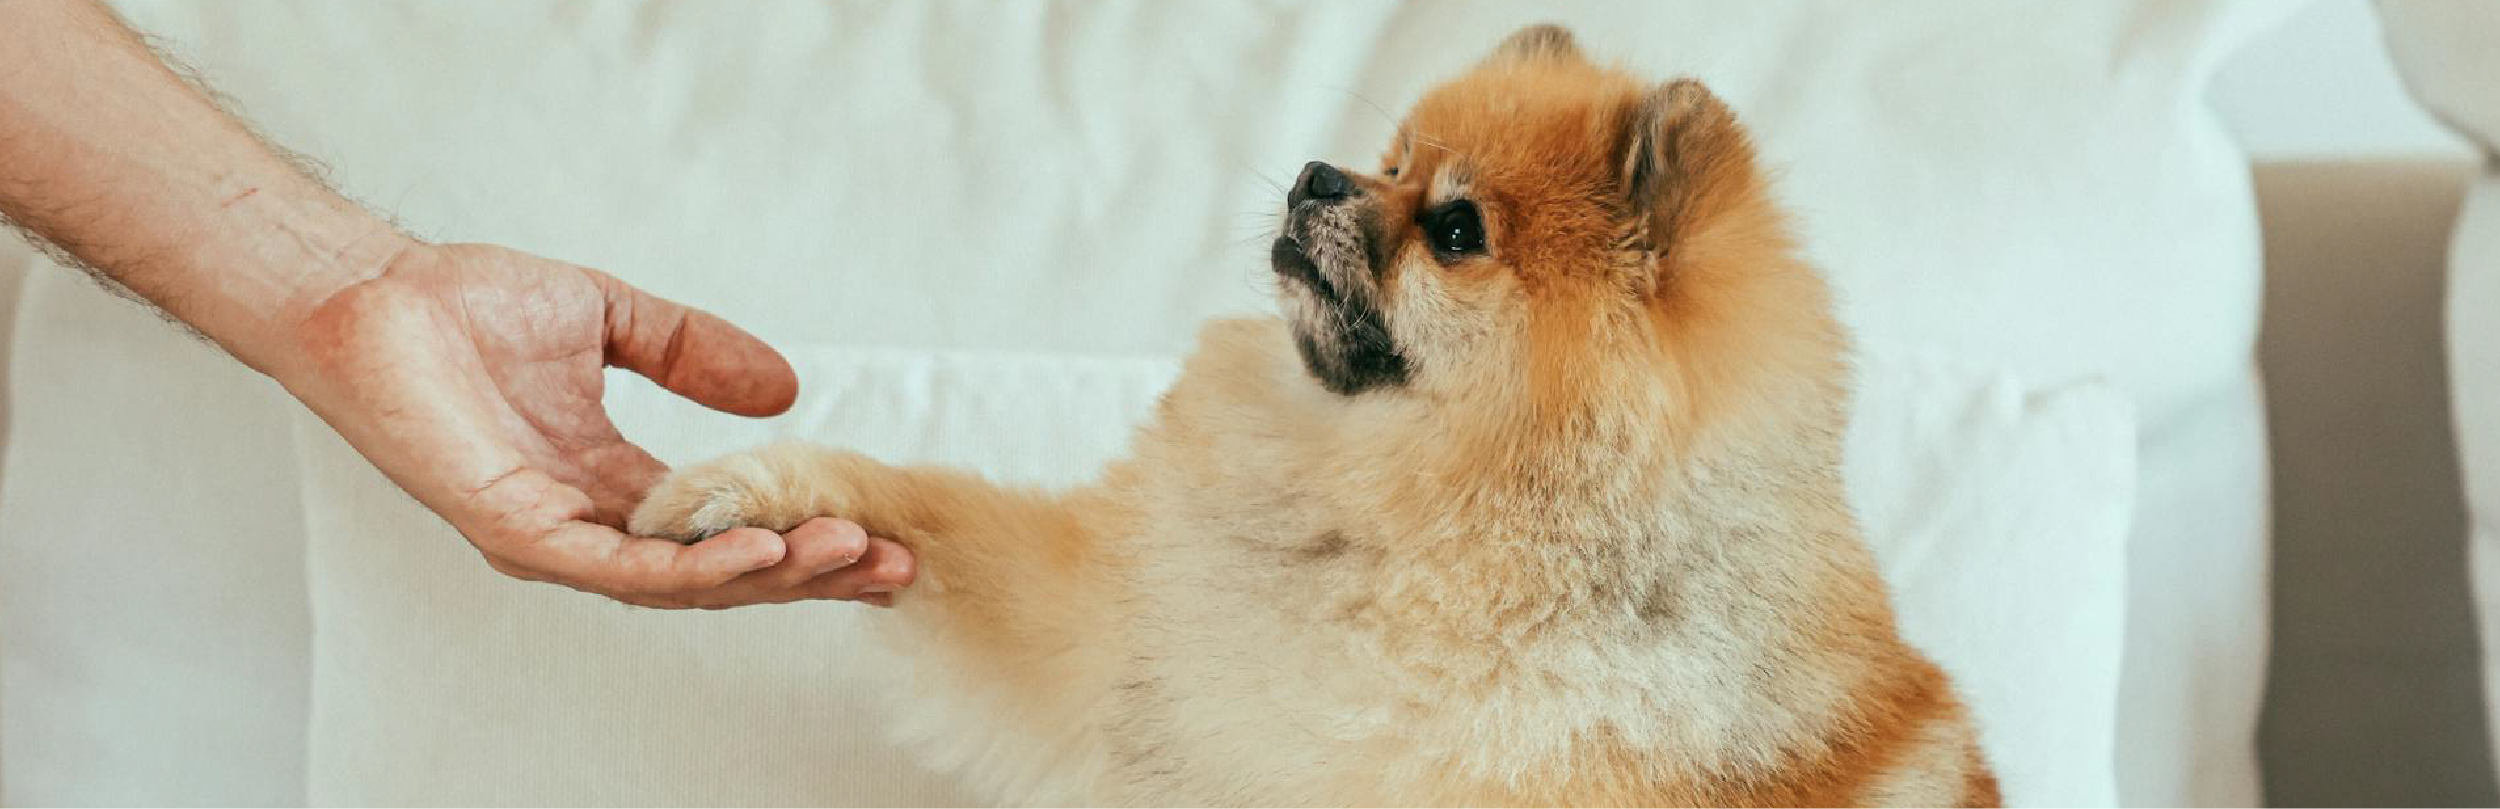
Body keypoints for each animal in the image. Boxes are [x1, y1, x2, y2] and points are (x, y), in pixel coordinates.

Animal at [635, 23, 2000, 809]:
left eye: (1455, 229)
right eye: (1388, 157)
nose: (1314, 174)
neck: (1393, 522)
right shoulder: (1108, 635)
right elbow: (927, 506)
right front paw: (753, 487)